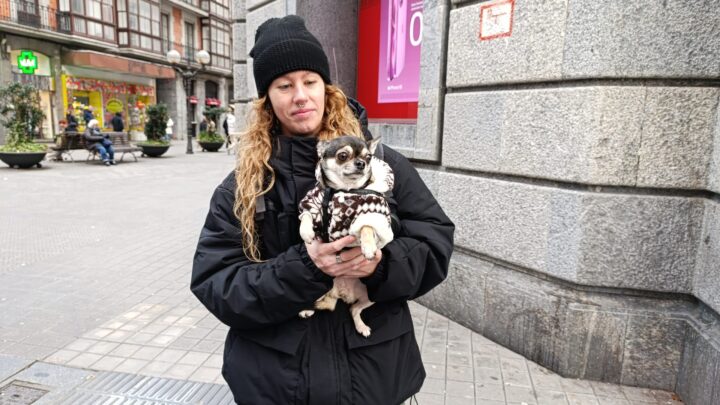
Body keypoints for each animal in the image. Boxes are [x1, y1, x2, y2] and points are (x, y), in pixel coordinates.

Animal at [300, 134, 396, 336]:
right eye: (342, 156)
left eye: (368, 157)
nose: (361, 163)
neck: (345, 189)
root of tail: (341, 293)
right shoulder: (313, 202)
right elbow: (306, 215)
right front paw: (306, 233)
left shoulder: (373, 213)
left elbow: (367, 227)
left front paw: (368, 248)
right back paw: (306, 309)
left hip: (372, 295)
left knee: (354, 309)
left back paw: (361, 326)